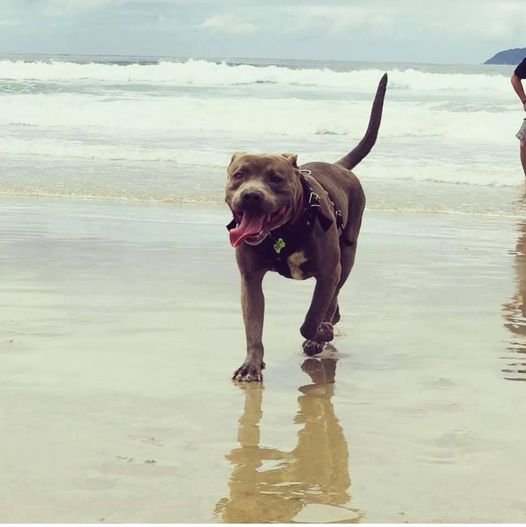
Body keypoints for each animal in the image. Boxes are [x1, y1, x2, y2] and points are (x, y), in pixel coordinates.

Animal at [226, 72, 388, 382]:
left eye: (276, 178)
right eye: (238, 175)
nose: (251, 195)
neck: (282, 233)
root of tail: (341, 167)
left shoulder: (328, 272)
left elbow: (312, 317)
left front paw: (319, 333)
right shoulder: (250, 279)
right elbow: (253, 325)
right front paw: (251, 364)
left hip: (347, 256)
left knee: (334, 297)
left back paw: (324, 331)